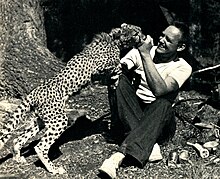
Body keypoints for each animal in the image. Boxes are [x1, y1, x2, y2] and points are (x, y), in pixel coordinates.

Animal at [0, 23, 144, 174]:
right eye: (135, 32)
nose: (143, 36)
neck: (114, 40)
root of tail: (34, 92)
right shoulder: (98, 68)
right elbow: (116, 66)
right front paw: (119, 74)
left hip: (41, 120)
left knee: (18, 138)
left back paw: (18, 158)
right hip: (59, 120)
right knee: (40, 146)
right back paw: (53, 169)